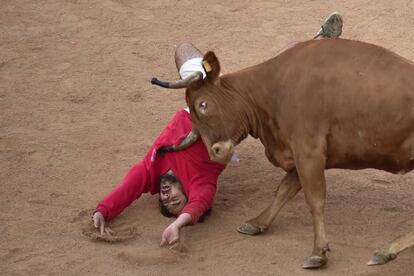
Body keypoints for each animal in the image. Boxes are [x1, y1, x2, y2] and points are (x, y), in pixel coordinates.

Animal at [153, 38, 414, 268]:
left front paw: (318, 252)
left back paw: (386, 251)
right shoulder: (300, 155)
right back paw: (387, 251)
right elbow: (284, 190)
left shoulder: (308, 153)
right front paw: (258, 223)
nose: (216, 152)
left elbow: (314, 199)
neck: (273, 90)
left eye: (203, 104)